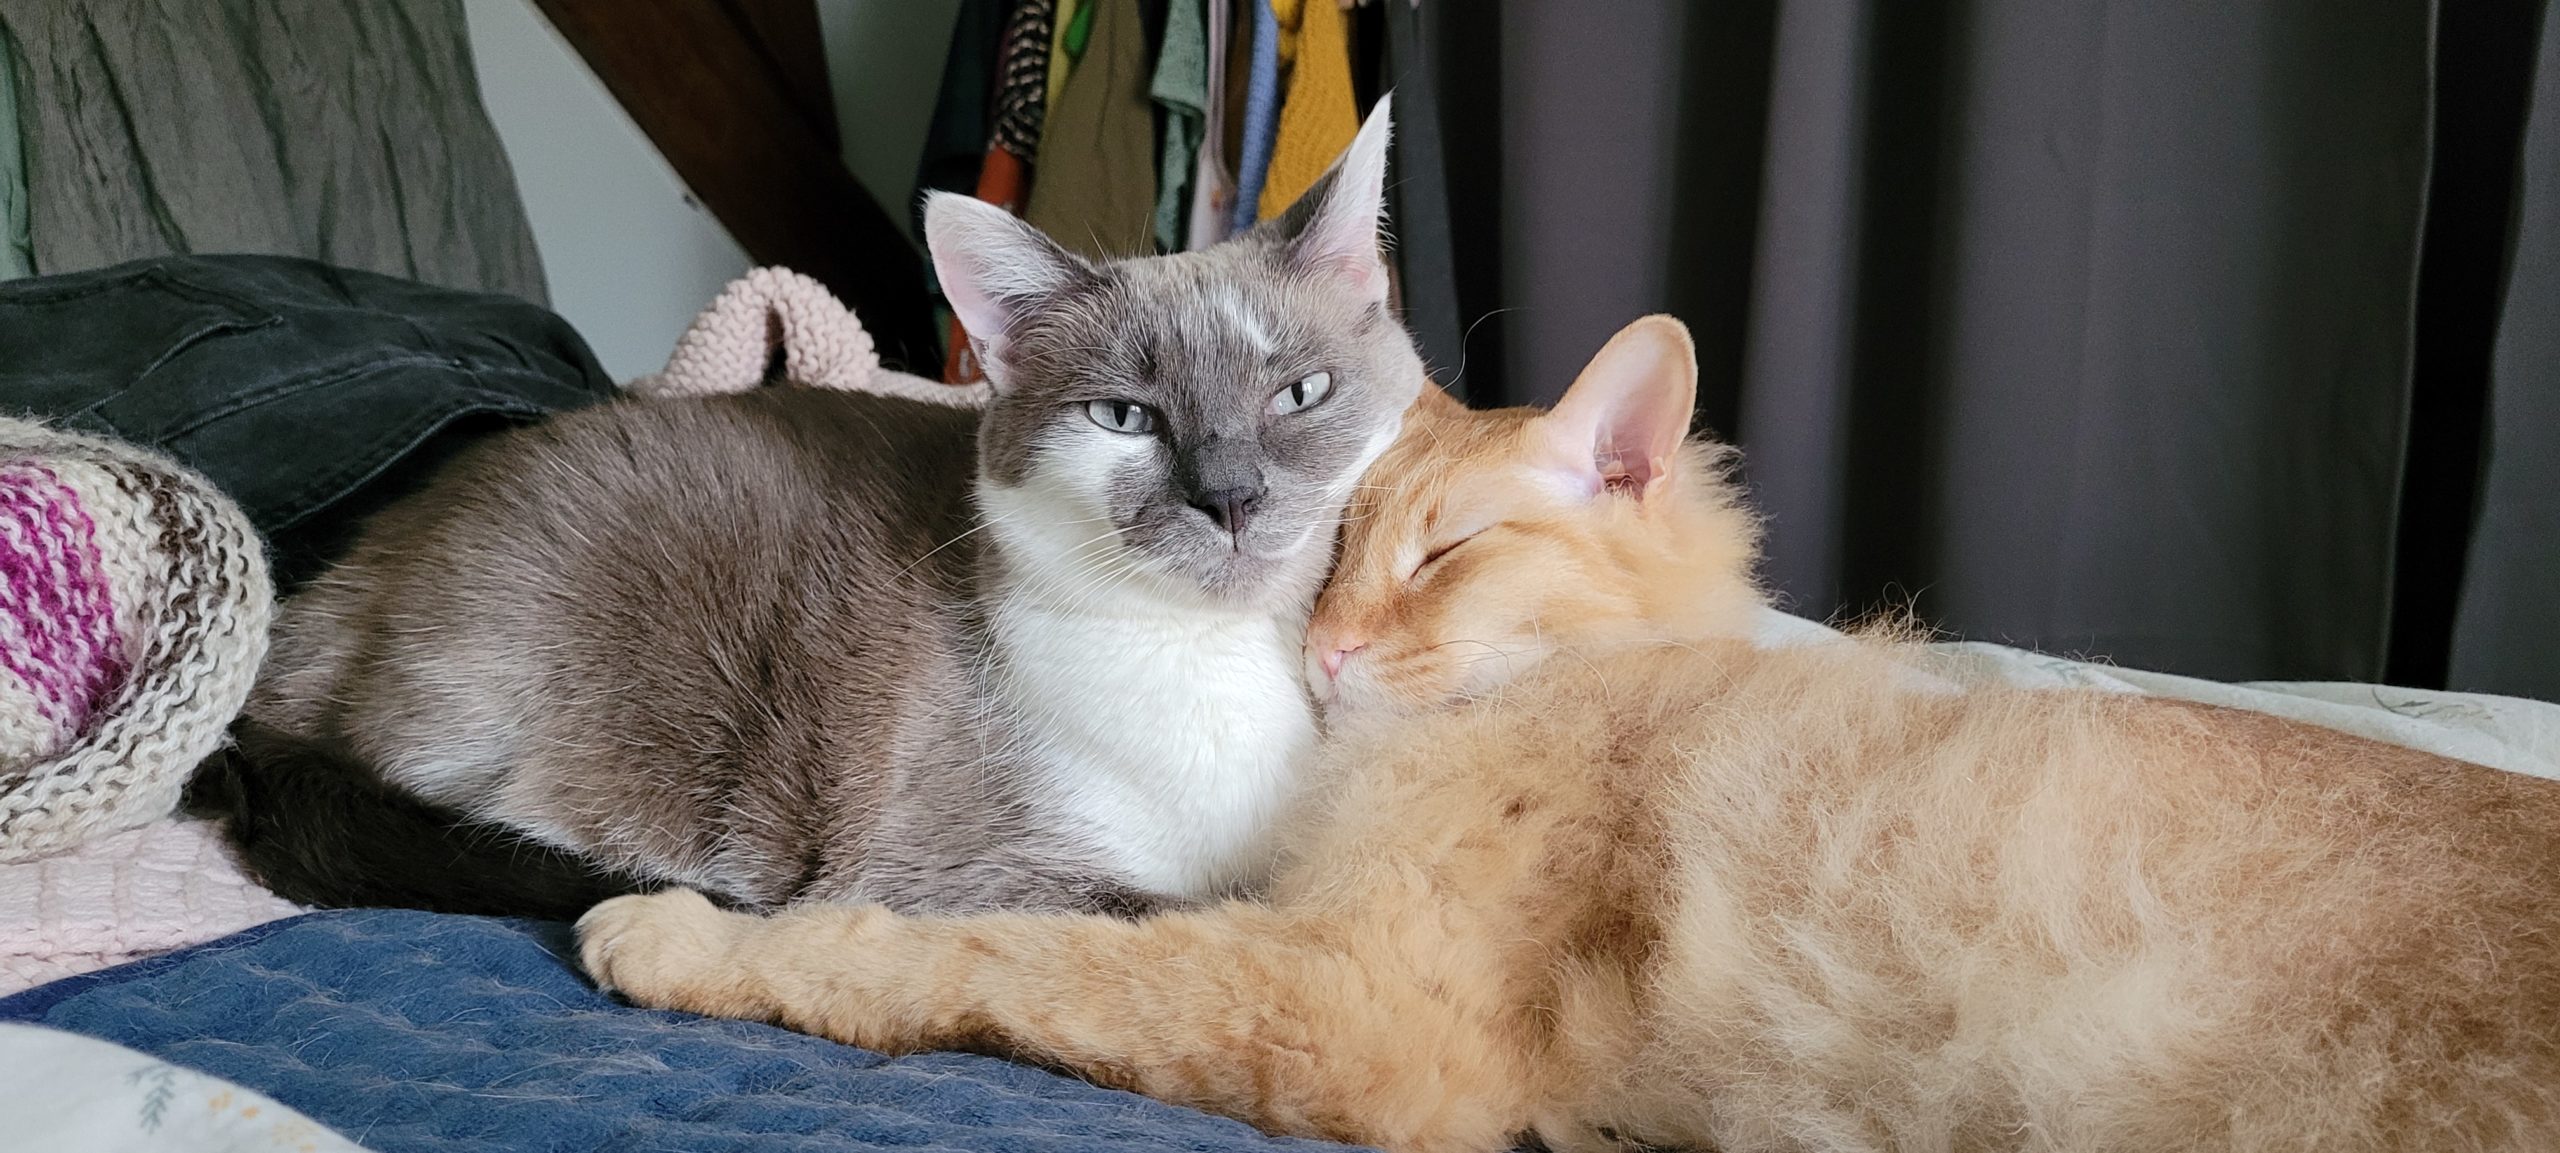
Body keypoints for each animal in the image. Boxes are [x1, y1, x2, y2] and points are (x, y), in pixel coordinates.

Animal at [204, 99, 1423, 917]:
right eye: (1125, 417)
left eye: (1300, 394)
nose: (1230, 499)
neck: (1215, 668)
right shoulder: (964, 876)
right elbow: (1225, 912)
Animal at [581, 315, 2560, 1153]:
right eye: (1331, 556)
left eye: (1441, 552)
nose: (1333, 651)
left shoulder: (1367, 1001)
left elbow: (947, 950)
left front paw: (681, 938)